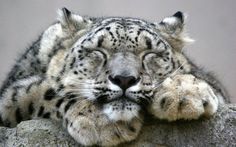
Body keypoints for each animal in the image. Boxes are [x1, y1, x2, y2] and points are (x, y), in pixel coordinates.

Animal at [0, 7, 229, 146]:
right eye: (98, 51)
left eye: (150, 53)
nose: (124, 79)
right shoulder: (9, 98)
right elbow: (46, 89)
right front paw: (99, 121)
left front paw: (185, 95)